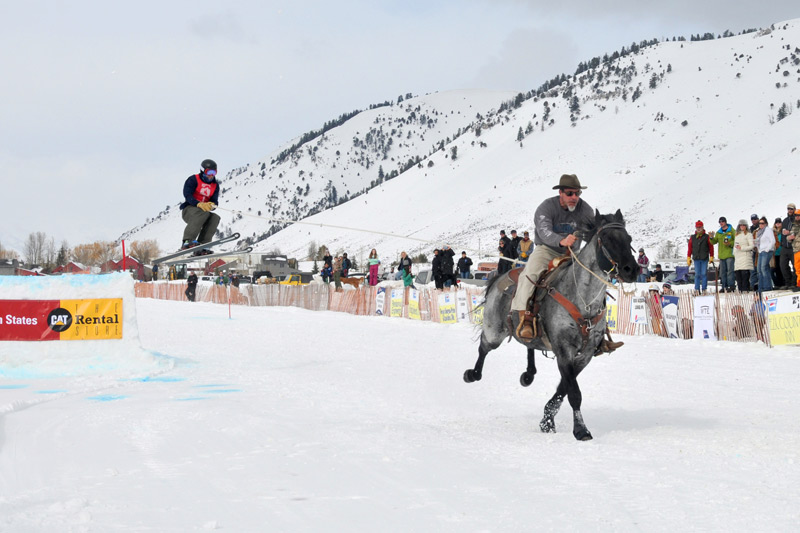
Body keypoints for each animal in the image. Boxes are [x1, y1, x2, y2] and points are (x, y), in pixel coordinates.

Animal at [462, 210, 636, 438]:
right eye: (607, 239)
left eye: (629, 239)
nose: (632, 270)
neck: (583, 300)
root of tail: (499, 277)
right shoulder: (564, 351)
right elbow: (574, 393)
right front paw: (580, 430)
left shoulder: (585, 355)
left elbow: (564, 388)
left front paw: (547, 420)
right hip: (494, 331)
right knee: (483, 347)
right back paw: (472, 374)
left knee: (528, 344)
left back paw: (528, 373)